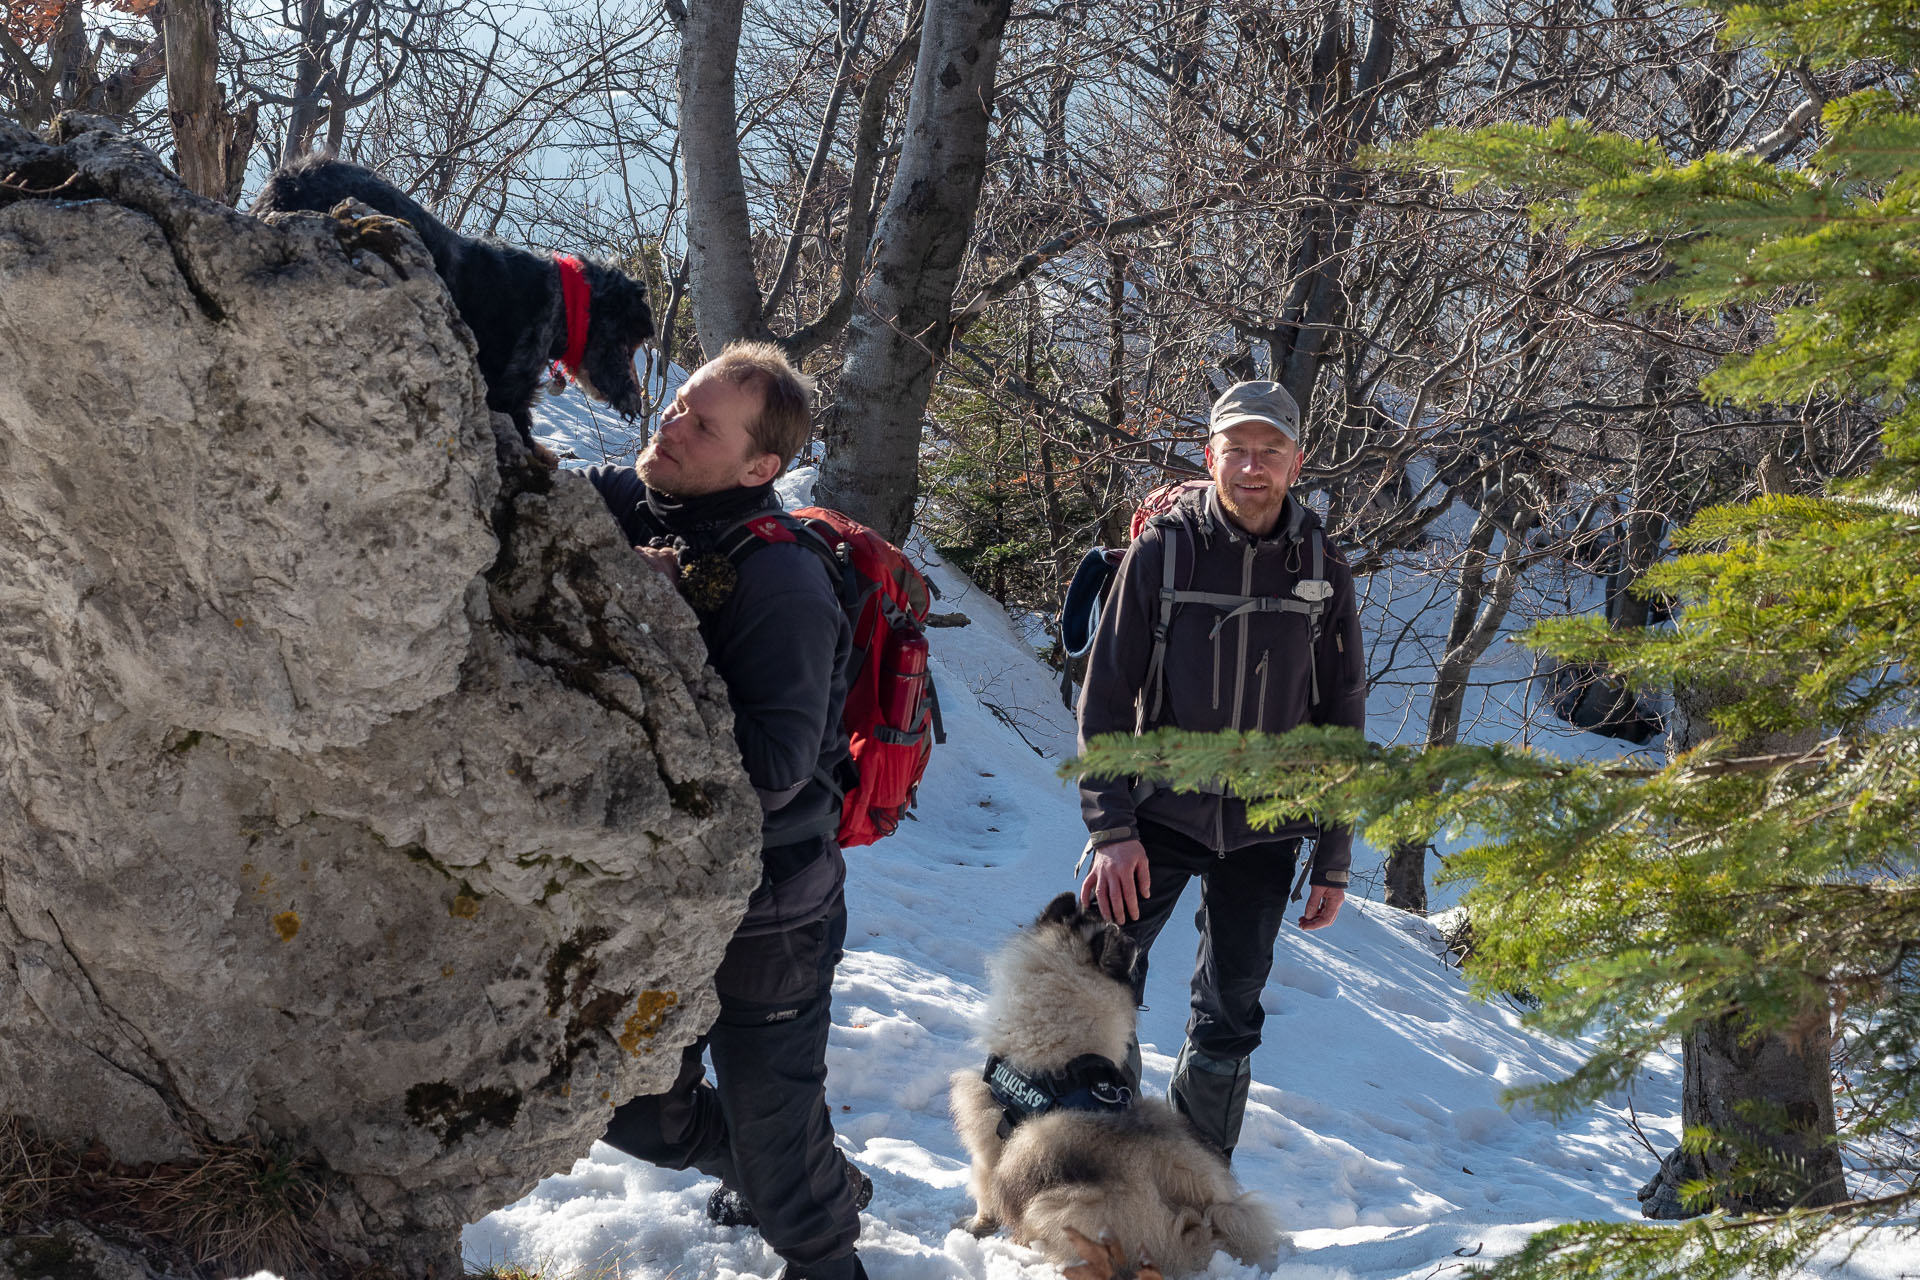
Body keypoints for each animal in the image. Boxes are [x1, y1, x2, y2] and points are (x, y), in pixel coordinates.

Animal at [944, 898, 1274, 1274]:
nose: (1131, 937)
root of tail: (1197, 1223)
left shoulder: (989, 1136)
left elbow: (984, 1194)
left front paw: (973, 1228)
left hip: (1059, 1203)